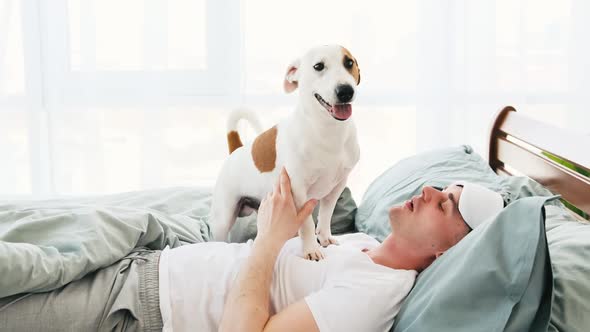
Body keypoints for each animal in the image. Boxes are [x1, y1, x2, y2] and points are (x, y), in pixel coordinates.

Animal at [210, 44, 364, 260]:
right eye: (318, 66)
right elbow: (306, 224)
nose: (345, 91)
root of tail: (236, 150)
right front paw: (311, 250)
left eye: (349, 63)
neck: (327, 130)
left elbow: (326, 215)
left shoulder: (337, 186)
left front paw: (324, 238)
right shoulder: (298, 190)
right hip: (223, 218)